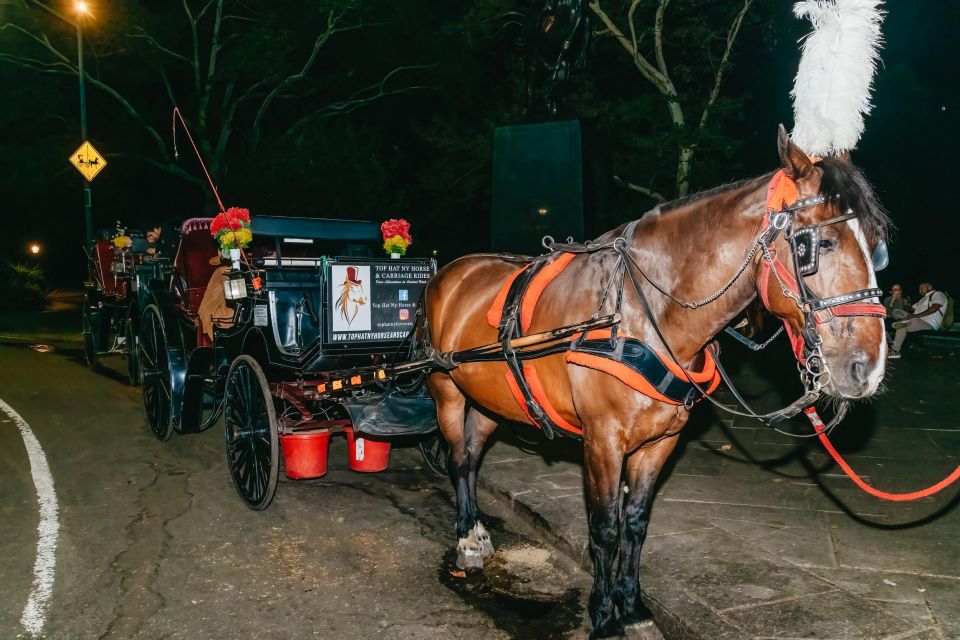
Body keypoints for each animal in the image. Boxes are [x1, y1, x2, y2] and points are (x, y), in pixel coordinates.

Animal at [424, 129, 888, 636]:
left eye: (877, 247)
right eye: (820, 243)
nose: (868, 367)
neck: (641, 313)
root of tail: (450, 271)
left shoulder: (661, 441)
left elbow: (636, 522)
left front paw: (632, 605)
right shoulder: (602, 440)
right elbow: (605, 526)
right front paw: (604, 615)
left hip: (490, 400)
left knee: (471, 456)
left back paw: (476, 529)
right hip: (446, 389)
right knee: (457, 458)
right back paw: (467, 539)